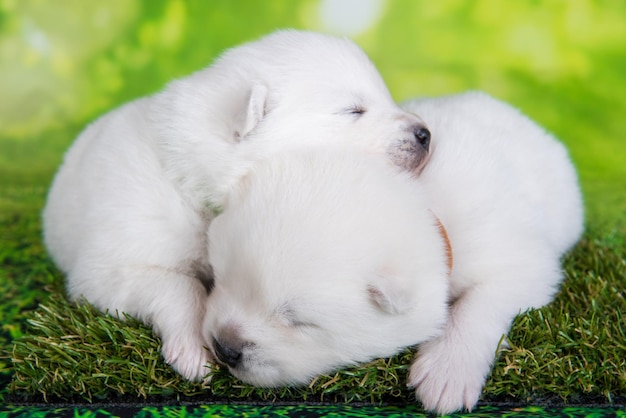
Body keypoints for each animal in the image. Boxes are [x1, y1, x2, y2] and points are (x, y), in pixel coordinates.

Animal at [41, 28, 426, 382]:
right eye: (353, 110)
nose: (426, 134)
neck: (186, 178)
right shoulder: (114, 262)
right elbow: (178, 286)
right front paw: (193, 352)